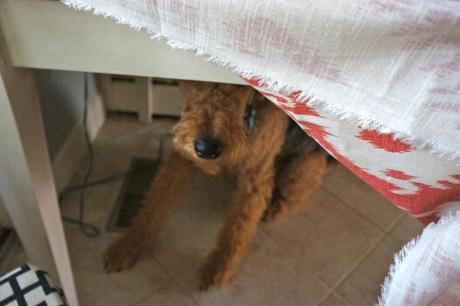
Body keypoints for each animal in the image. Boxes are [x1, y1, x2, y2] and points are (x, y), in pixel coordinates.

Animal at [104, 80, 328, 290]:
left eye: (239, 85)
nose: (207, 149)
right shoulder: (182, 156)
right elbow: (155, 203)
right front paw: (126, 247)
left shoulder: (256, 175)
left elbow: (238, 228)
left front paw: (220, 269)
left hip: (301, 170)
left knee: (294, 194)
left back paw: (273, 208)